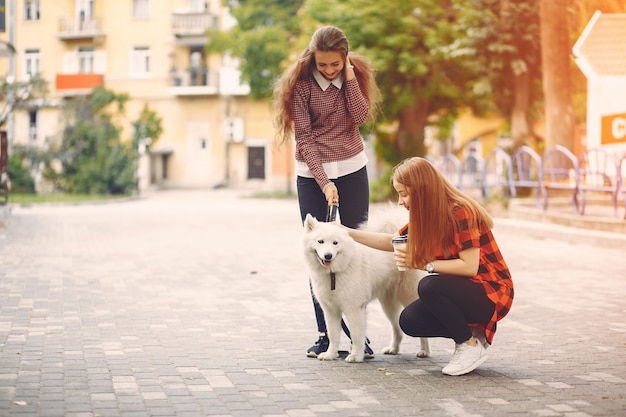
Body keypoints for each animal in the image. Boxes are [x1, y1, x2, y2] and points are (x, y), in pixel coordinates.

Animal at [302, 205, 428, 360]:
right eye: (320, 241)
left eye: (335, 243)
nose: (328, 256)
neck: (334, 273)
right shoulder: (331, 310)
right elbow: (333, 335)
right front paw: (330, 354)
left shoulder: (354, 308)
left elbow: (356, 335)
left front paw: (356, 356)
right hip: (388, 305)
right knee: (396, 328)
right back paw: (393, 349)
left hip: (408, 297)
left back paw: (424, 351)